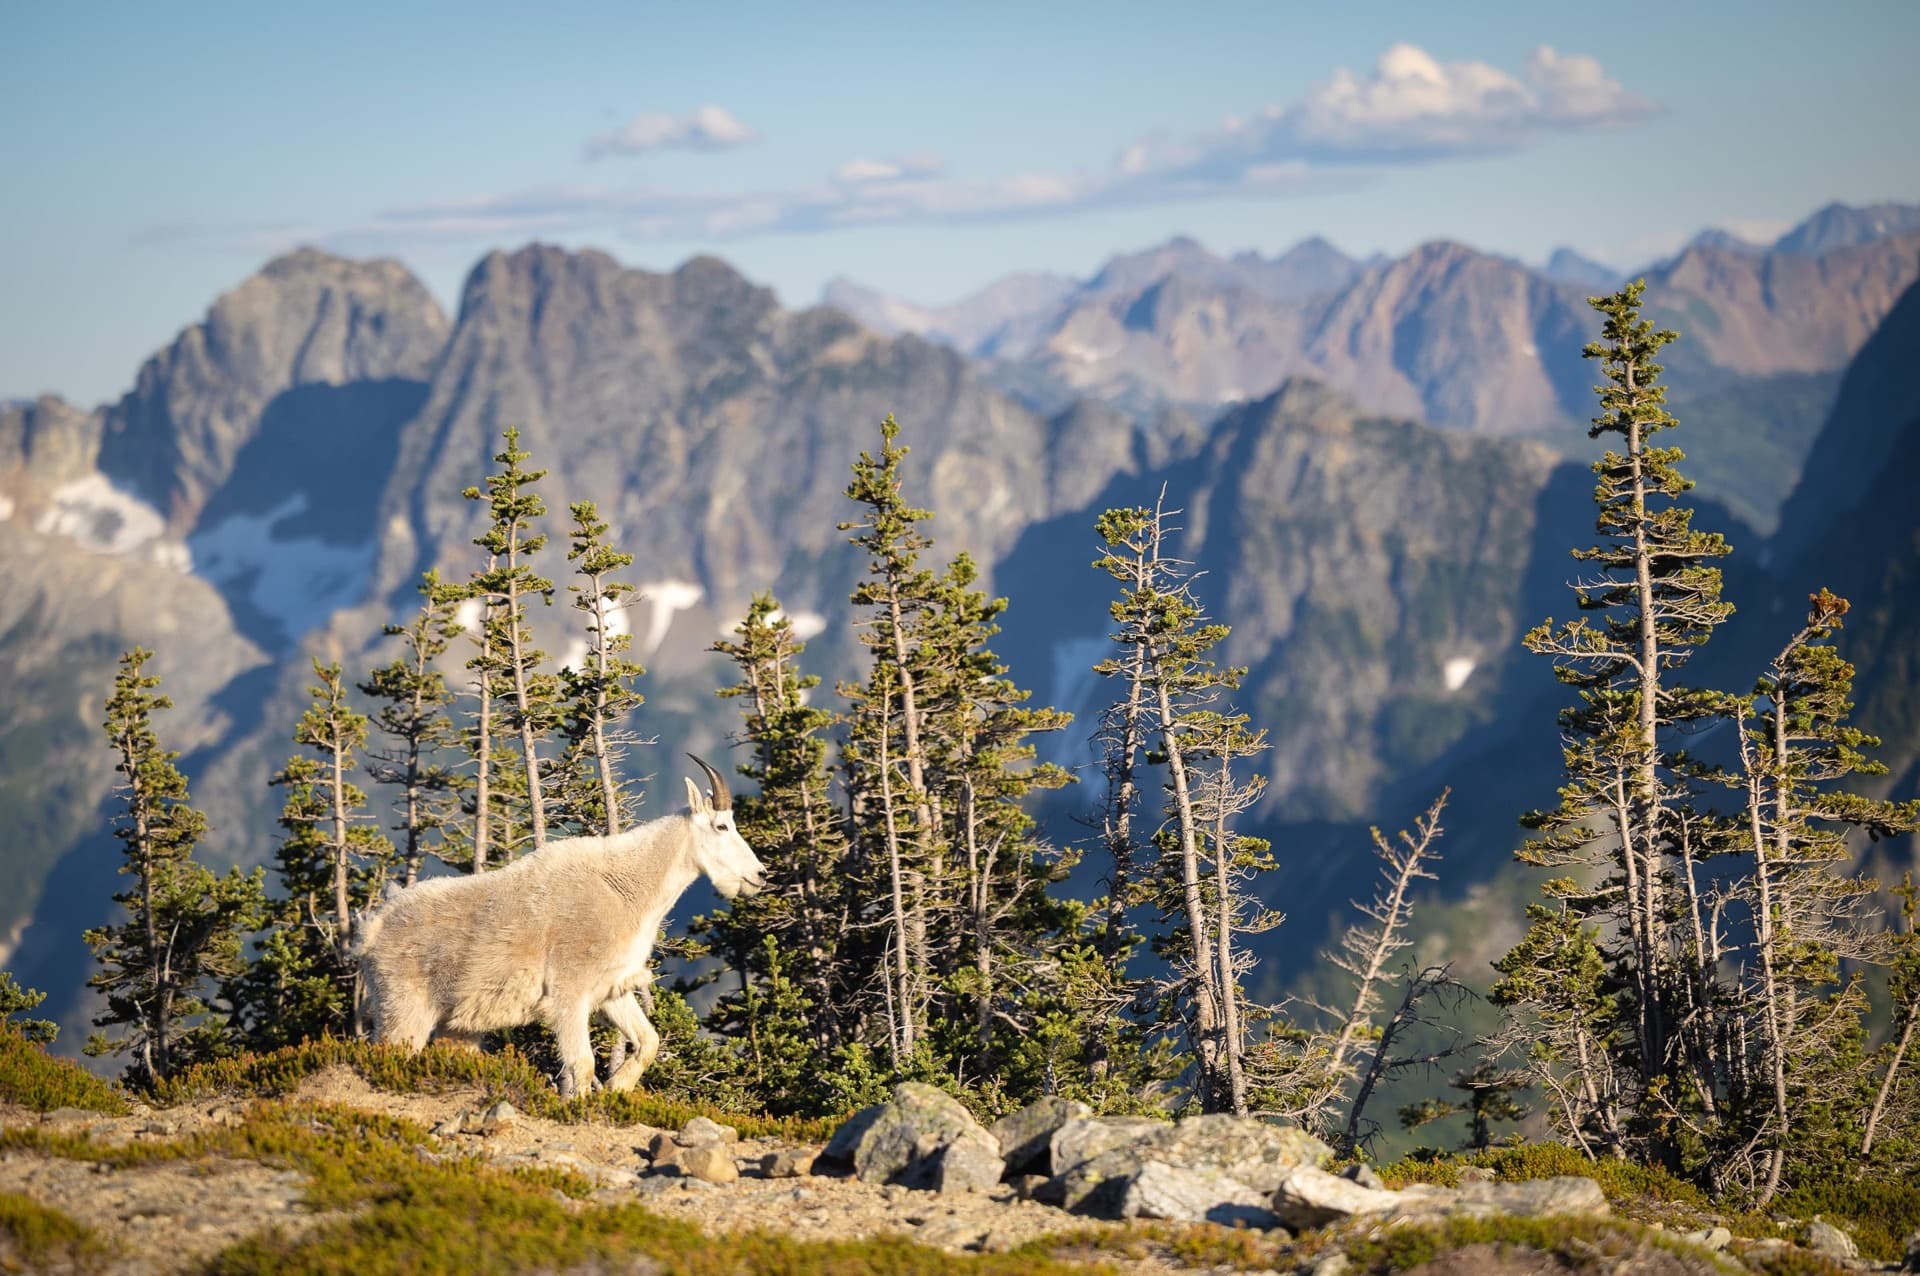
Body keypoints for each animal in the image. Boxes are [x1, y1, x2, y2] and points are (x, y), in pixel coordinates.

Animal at [355, 755, 766, 1097]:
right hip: (404, 1007)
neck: (627, 887)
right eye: (722, 825)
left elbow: (648, 1041)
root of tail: (371, 931)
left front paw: (616, 1088)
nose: (760, 875)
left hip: (456, 1023)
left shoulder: (610, 989)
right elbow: (582, 1063)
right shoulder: (569, 991)